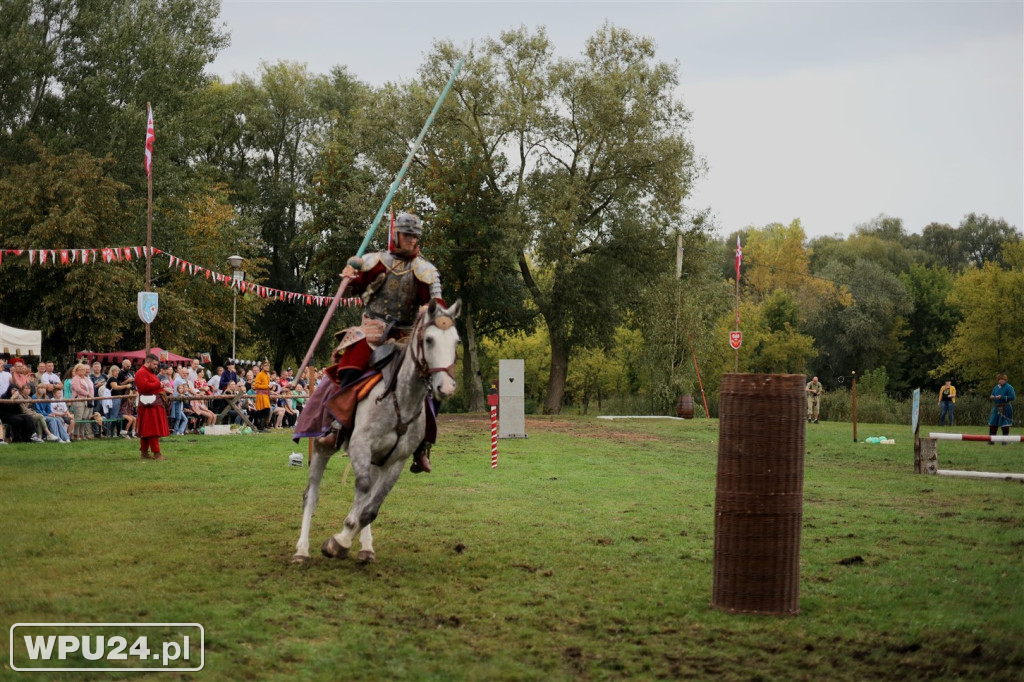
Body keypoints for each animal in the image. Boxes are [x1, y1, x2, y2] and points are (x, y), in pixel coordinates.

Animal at [292, 299, 460, 561]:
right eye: (429, 340)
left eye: (456, 341)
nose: (446, 387)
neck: (400, 399)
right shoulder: (360, 446)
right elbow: (362, 487)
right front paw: (340, 541)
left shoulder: (396, 460)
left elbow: (371, 507)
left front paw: (344, 540)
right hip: (321, 447)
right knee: (311, 495)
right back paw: (302, 550)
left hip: (376, 459)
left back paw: (366, 548)